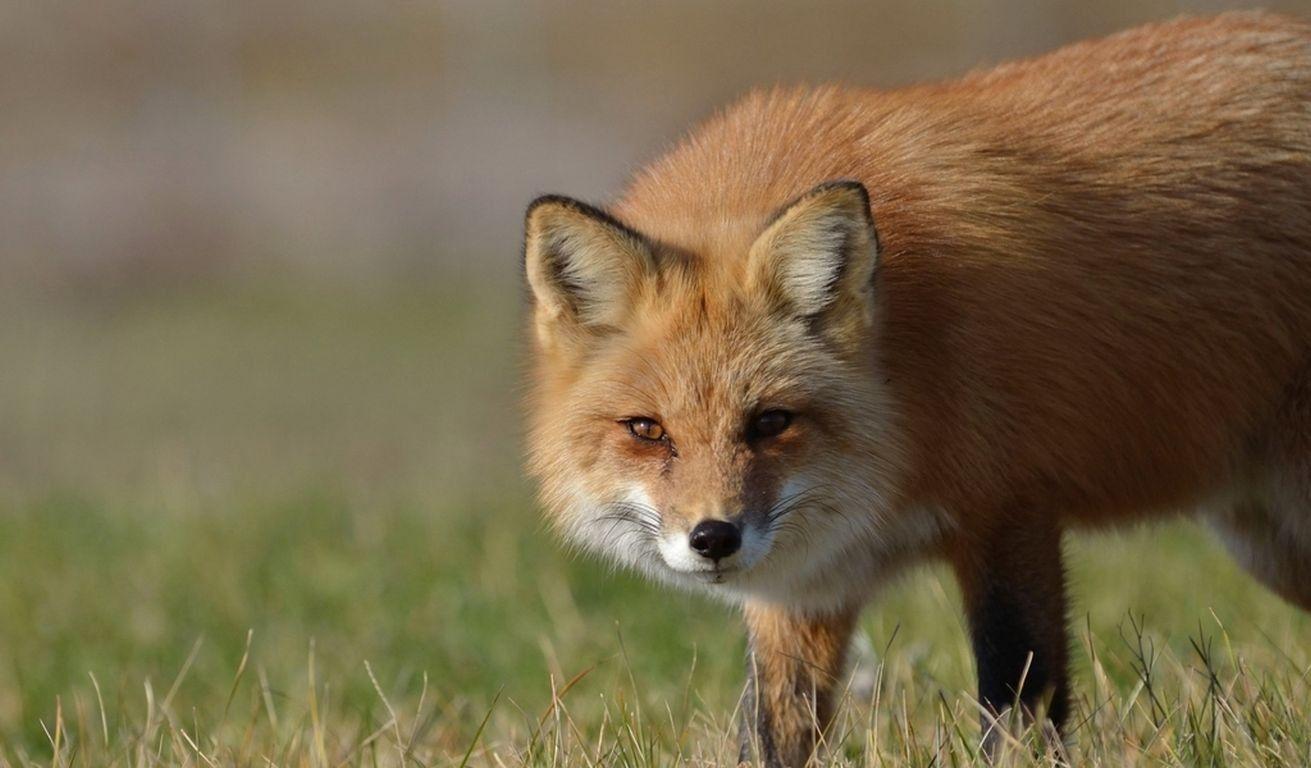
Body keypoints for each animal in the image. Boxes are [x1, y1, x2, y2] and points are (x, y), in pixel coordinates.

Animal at [522, 11, 1311, 767]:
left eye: (770, 421)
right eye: (646, 430)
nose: (714, 538)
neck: (904, 415)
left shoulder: (1009, 509)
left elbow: (1016, 703)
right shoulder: (804, 585)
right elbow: (769, 731)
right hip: (1266, 541)